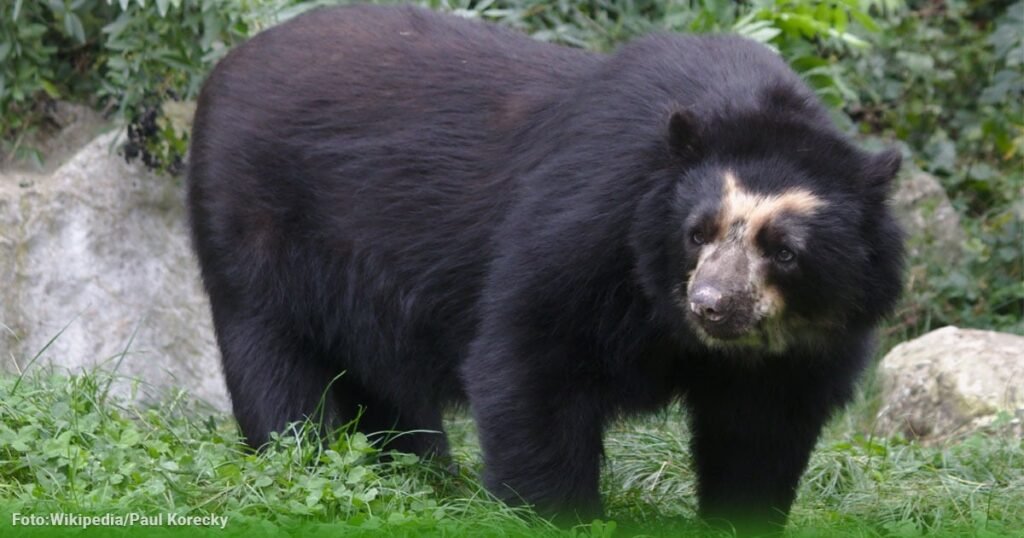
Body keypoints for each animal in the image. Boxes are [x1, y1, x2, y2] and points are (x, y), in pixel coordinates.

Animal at [187, 4, 904, 532]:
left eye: (784, 251)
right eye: (696, 233)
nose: (711, 304)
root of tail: (227, 64)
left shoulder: (808, 341)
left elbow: (764, 429)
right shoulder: (590, 223)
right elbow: (532, 359)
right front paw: (558, 516)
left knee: (385, 378)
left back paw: (424, 479)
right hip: (253, 227)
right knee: (277, 362)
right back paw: (302, 465)